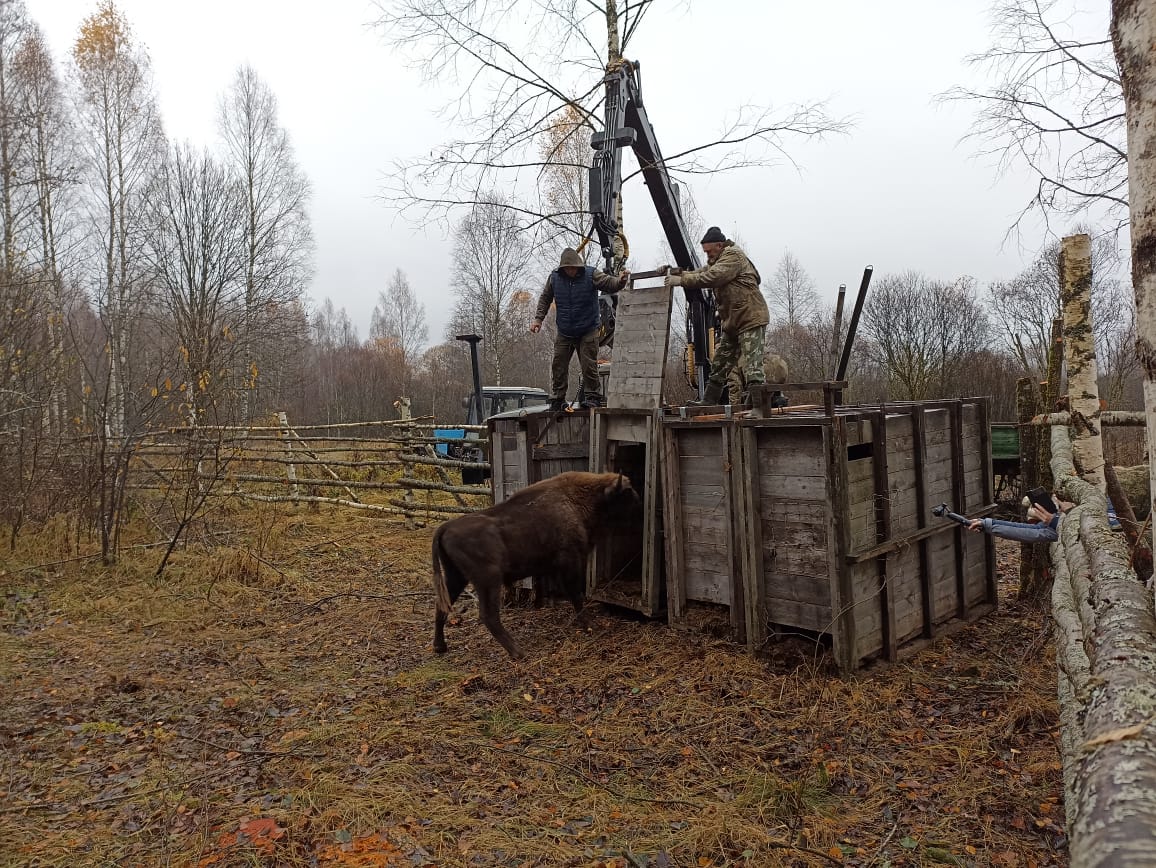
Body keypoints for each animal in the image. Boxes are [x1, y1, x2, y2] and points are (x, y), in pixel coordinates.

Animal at [432, 471, 638, 661]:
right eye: (627, 491)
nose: (639, 502)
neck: (576, 500)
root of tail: (445, 527)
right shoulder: (571, 561)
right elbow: (576, 594)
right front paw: (590, 626)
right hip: (488, 579)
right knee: (488, 614)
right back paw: (518, 652)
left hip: (456, 577)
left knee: (442, 605)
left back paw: (439, 646)